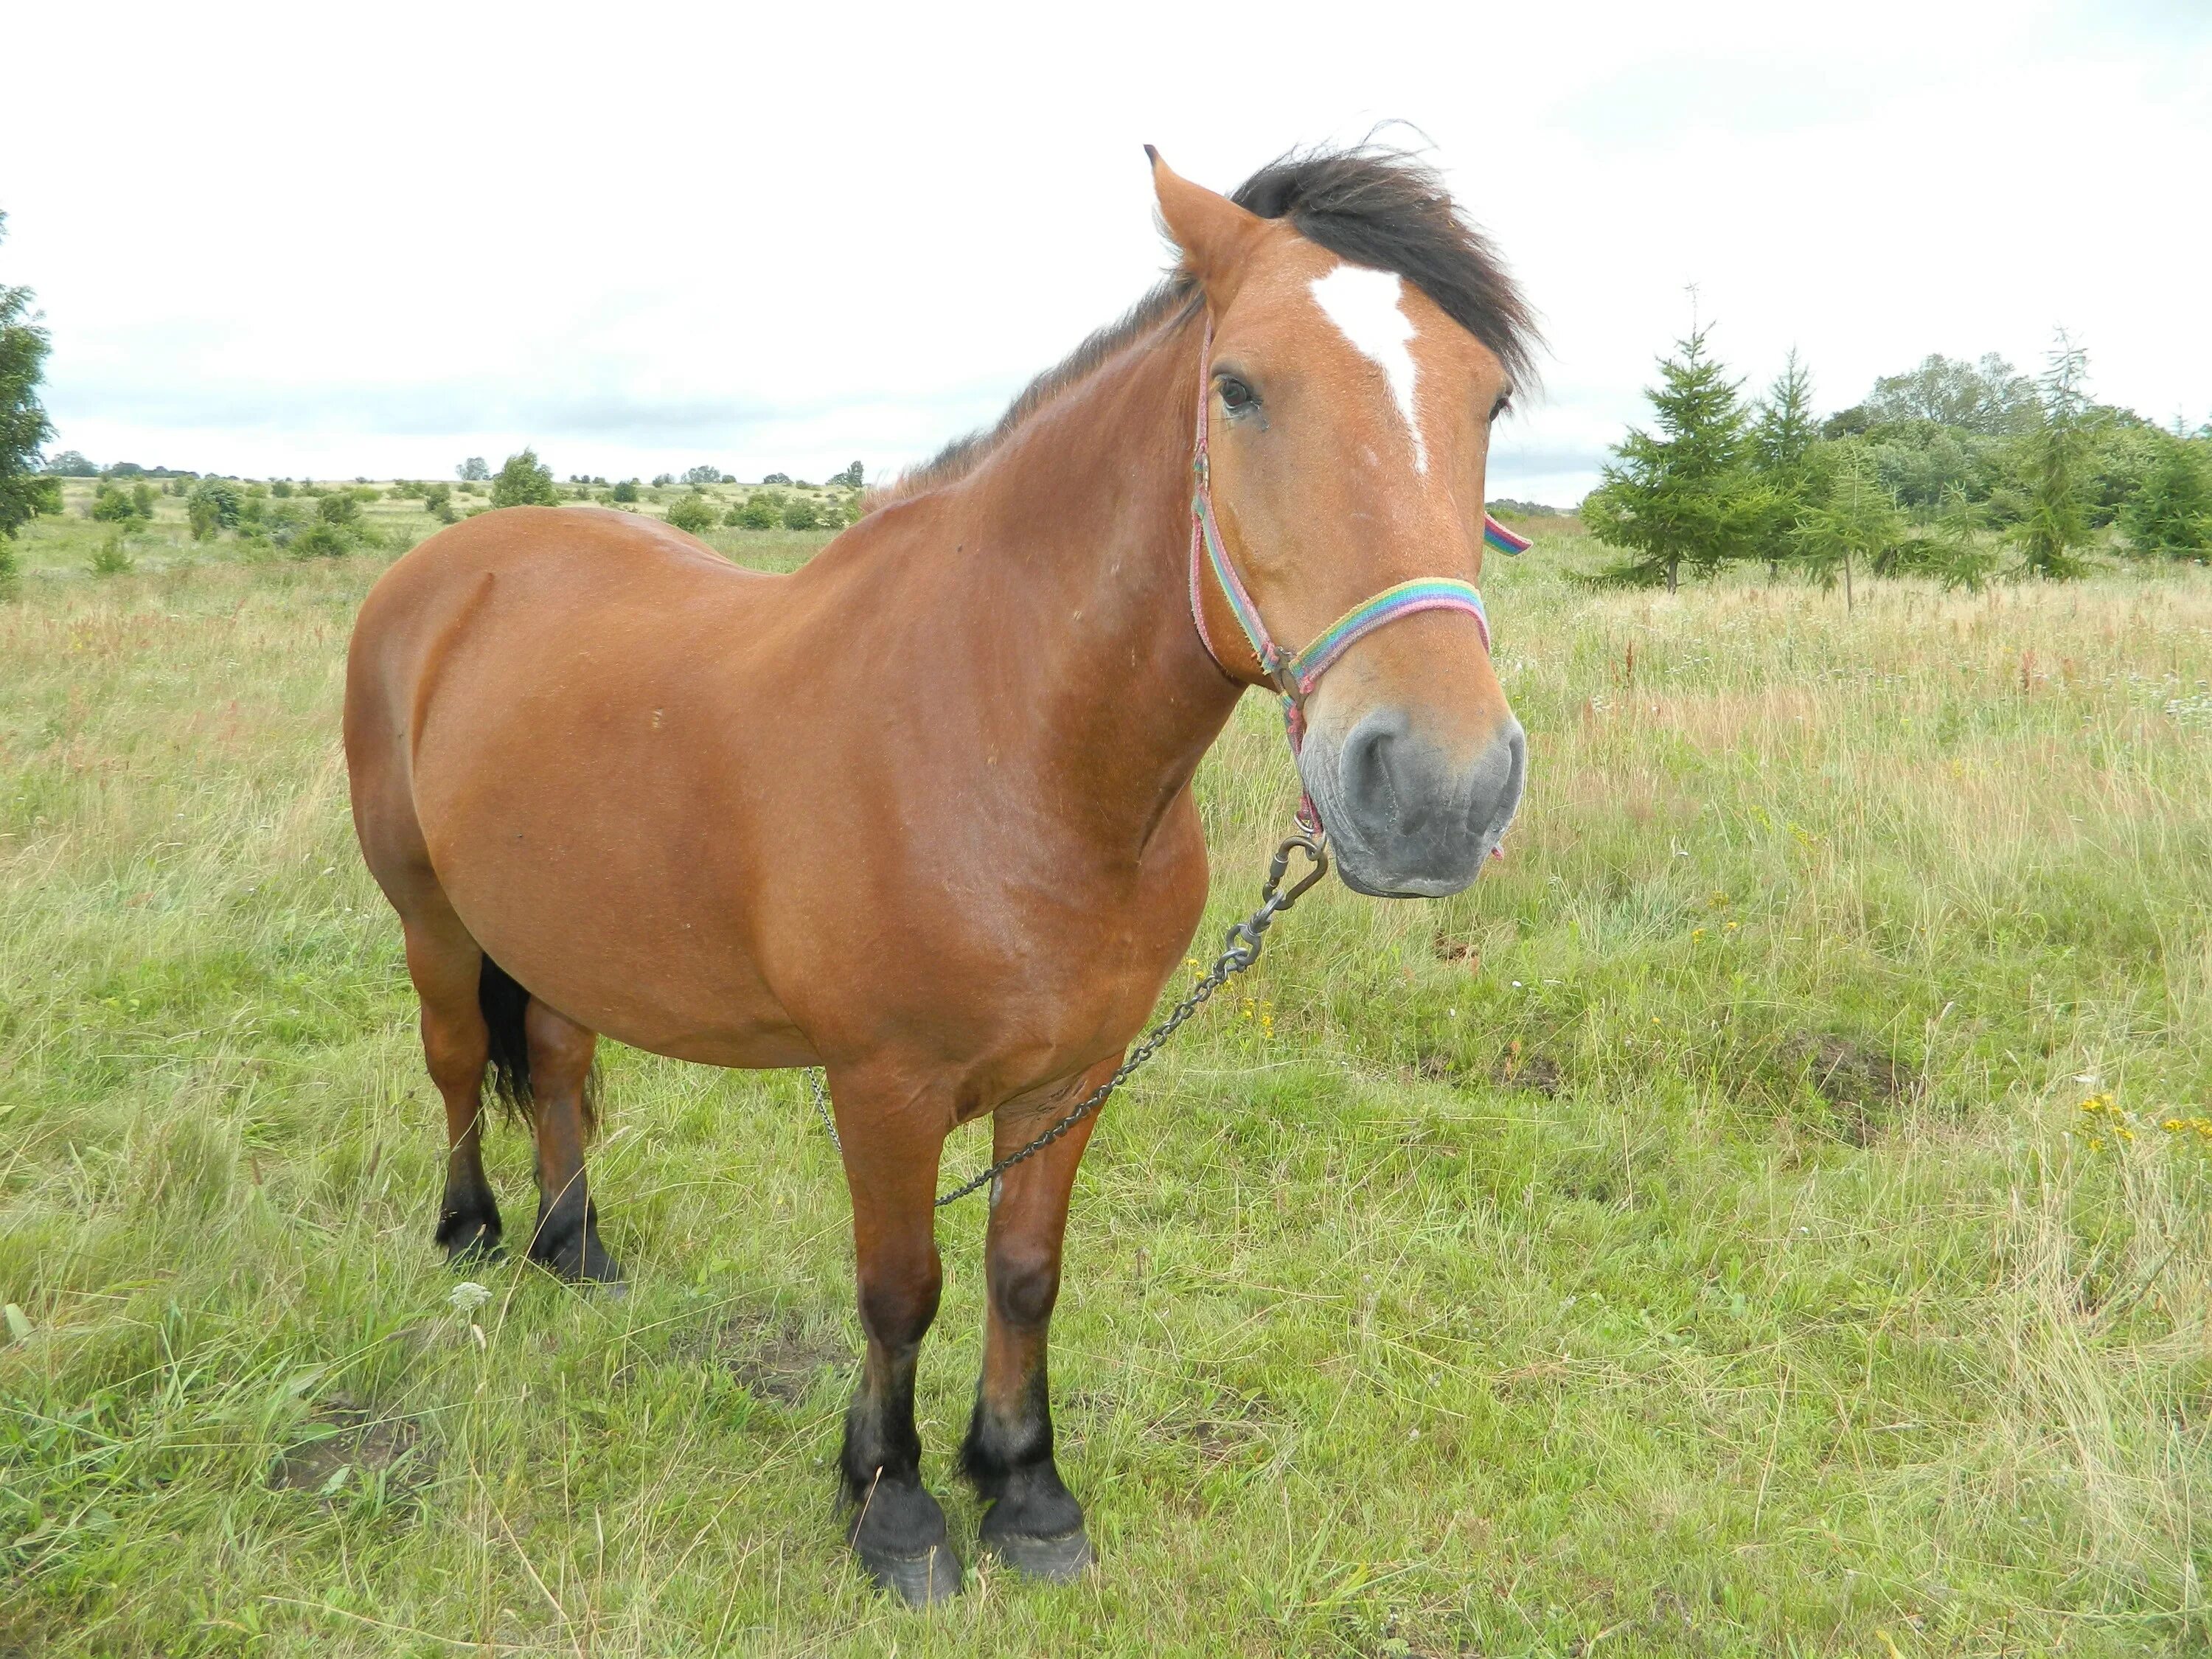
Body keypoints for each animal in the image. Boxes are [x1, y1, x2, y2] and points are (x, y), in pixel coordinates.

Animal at [345, 146, 1531, 1610]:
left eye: (1489, 399)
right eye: (1239, 388)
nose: (1441, 789)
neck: (1004, 739)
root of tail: (442, 569)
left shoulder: (1076, 1073)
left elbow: (1023, 1273)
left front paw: (1025, 1489)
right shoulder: (884, 1085)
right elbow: (900, 1286)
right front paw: (895, 1505)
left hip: (561, 926)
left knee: (559, 1064)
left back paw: (580, 1254)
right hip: (432, 917)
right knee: (460, 1064)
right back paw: (470, 1238)